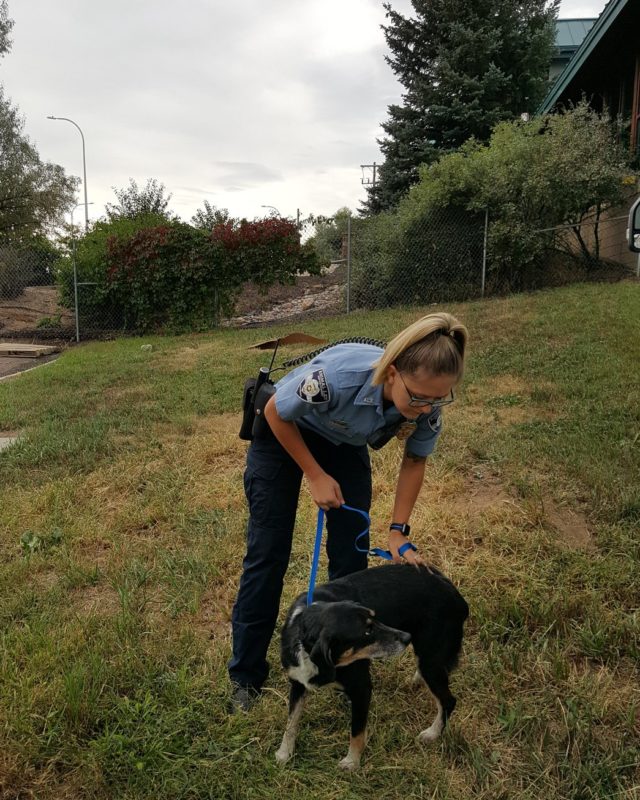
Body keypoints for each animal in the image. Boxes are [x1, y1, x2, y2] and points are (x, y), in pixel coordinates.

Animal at [278, 564, 468, 768]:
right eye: (367, 631)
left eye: (375, 619)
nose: (406, 637)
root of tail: (454, 593)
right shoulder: (298, 682)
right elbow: (291, 722)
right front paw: (284, 753)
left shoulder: (362, 689)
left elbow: (357, 731)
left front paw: (351, 763)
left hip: (431, 660)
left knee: (448, 701)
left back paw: (432, 733)